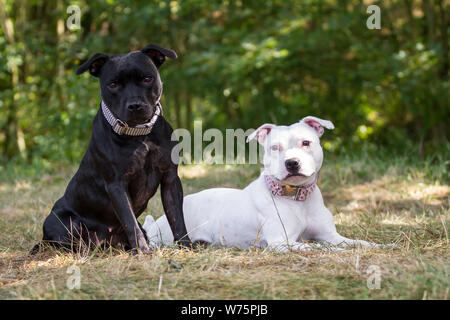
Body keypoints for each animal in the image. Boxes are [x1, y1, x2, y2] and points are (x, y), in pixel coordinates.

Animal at [30, 43, 192, 254]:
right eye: (113, 84)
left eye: (147, 79)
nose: (135, 105)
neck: (140, 135)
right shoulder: (117, 185)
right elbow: (130, 222)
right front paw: (143, 251)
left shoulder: (170, 178)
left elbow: (177, 218)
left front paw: (187, 247)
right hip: (60, 221)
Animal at [143, 116, 380, 251]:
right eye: (275, 147)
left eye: (306, 142)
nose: (292, 163)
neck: (297, 198)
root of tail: (156, 222)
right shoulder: (281, 241)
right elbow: (320, 248)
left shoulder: (331, 236)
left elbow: (356, 243)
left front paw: (380, 245)